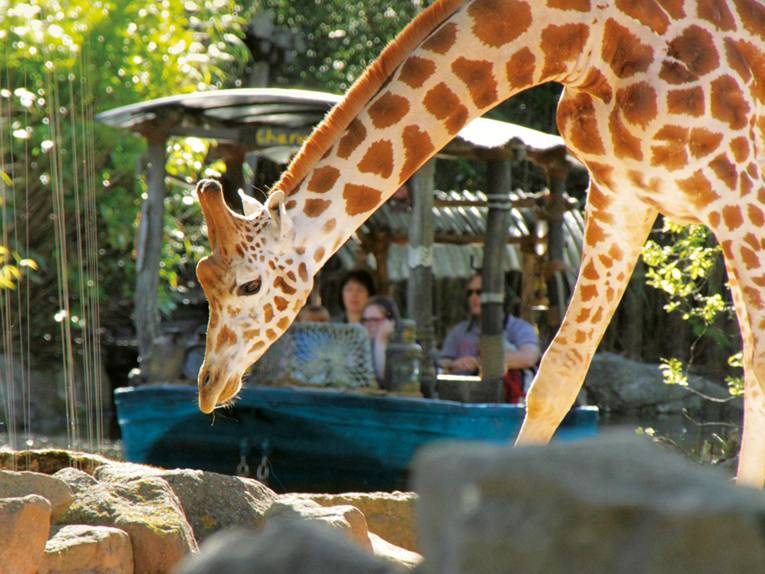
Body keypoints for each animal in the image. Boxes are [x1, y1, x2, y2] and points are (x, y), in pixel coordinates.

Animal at [194, 0, 764, 486]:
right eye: (203, 280)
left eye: (249, 285)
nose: (208, 385)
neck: (585, 38)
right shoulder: (620, 193)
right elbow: (557, 374)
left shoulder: (740, 192)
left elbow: (755, 369)